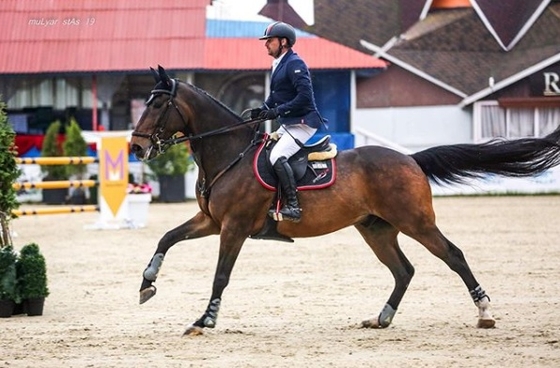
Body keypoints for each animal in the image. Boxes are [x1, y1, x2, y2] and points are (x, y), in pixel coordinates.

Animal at [130, 64, 560, 334]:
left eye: (157, 104)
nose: (135, 147)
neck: (228, 153)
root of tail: (410, 159)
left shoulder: (232, 228)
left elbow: (221, 275)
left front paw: (204, 320)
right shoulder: (211, 222)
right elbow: (166, 238)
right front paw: (147, 284)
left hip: (416, 222)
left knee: (453, 255)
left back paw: (485, 312)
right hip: (376, 230)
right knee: (404, 271)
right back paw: (381, 318)